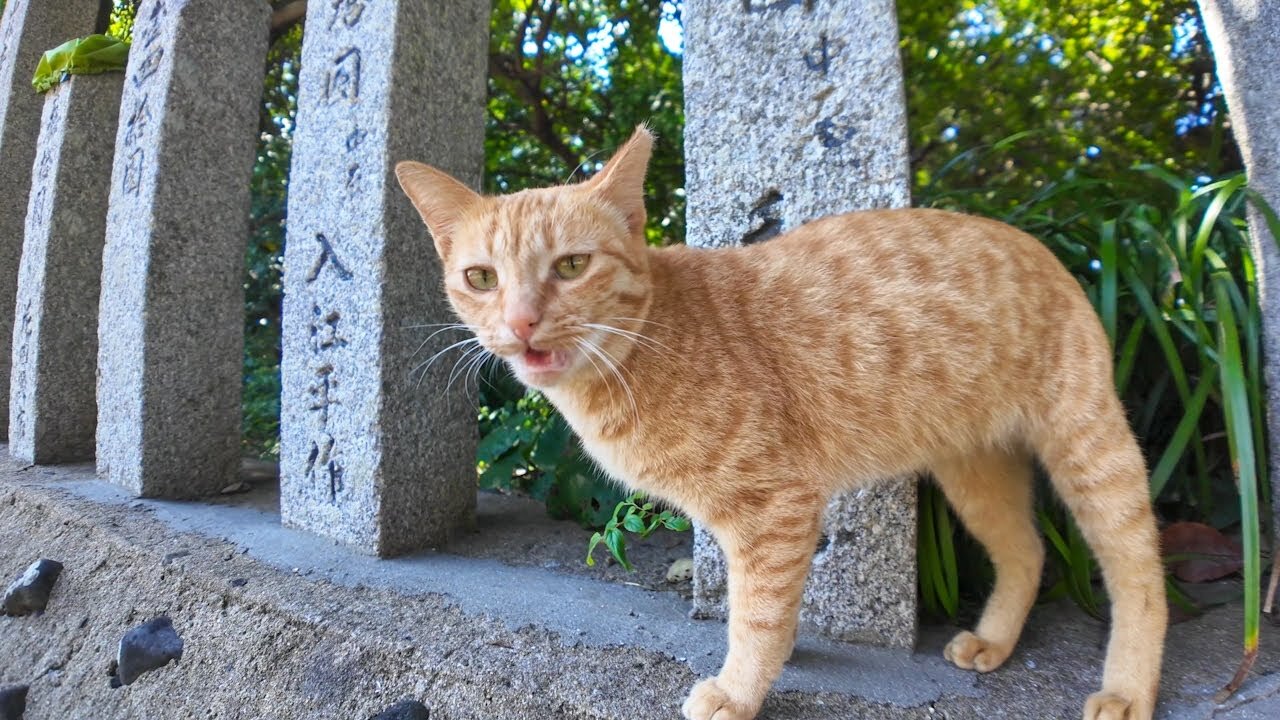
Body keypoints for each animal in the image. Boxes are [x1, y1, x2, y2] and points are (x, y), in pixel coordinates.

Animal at [396, 127, 1172, 717]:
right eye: (481, 278)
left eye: (571, 266)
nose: (522, 323)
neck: (644, 349)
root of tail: (1041, 244)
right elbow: (765, 603)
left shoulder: (774, 506)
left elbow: (758, 611)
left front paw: (740, 691)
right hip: (974, 473)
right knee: (1027, 551)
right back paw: (995, 642)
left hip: (1090, 450)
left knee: (1139, 573)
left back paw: (1127, 690)